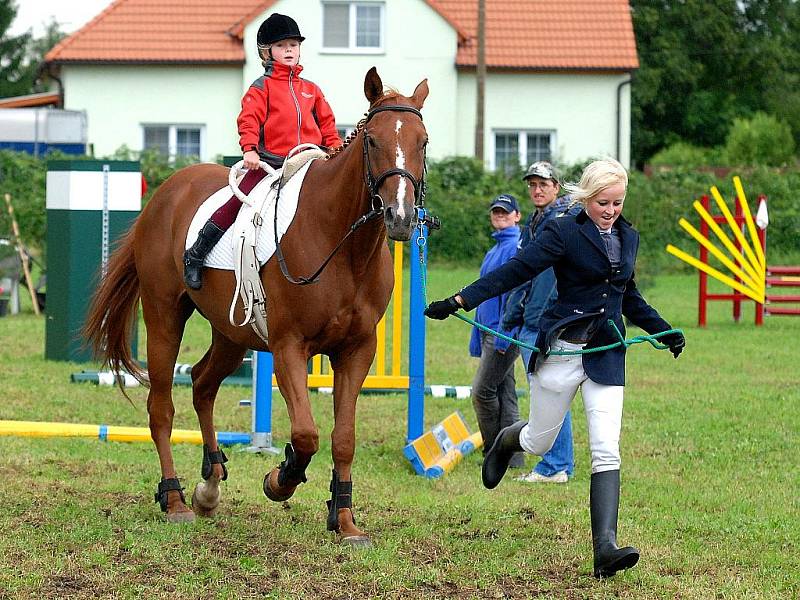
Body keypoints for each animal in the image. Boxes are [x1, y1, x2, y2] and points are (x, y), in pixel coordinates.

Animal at [83, 67, 428, 544]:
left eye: (423, 141)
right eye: (373, 141)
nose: (400, 215)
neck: (342, 244)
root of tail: (166, 192)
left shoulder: (357, 351)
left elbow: (343, 438)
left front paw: (344, 520)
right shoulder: (288, 347)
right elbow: (306, 434)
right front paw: (280, 480)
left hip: (231, 335)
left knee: (203, 385)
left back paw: (209, 487)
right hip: (164, 317)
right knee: (161, 407)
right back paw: (174, 500)